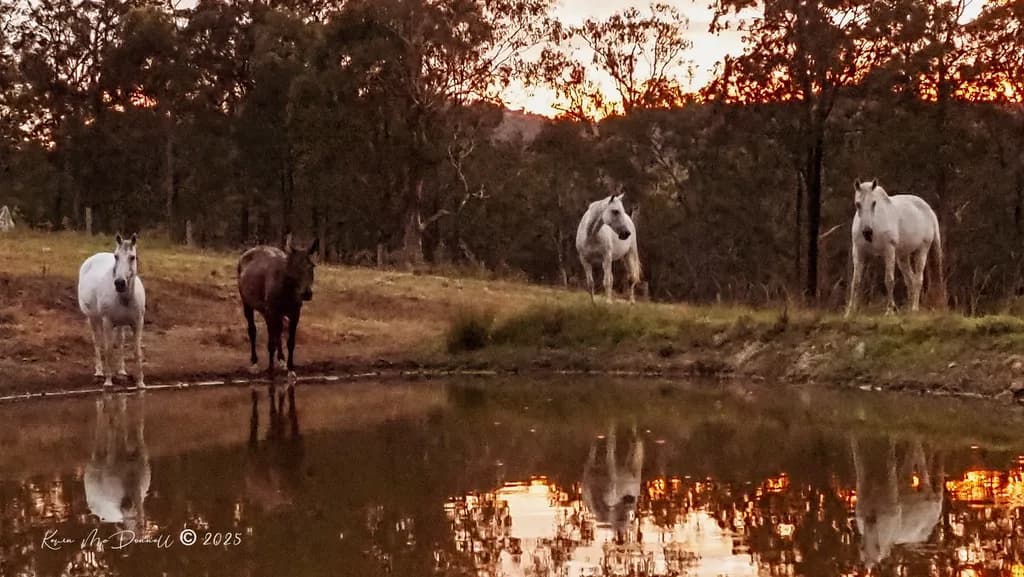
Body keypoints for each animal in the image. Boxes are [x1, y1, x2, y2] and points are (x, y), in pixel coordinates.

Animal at [78, 233, 147, 387]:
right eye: (116, 256)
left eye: (132, 257)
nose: (120, 283)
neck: (124, 298)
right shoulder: (107, 322)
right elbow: (108, 349)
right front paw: (108, 382)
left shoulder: (138, 322)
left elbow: (137, 351)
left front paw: (140, 383)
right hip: (93, 319)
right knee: (97, 342)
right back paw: (99, 373)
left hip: (120, 324)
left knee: (120, 341)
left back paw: (121, 372)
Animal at [237, 237, 319, 379]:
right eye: (295, 267)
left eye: (312, 265)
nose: (306, 293)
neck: (286, 289)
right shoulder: (272, 311)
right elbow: (270, 343)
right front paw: (270, 370)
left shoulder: (294, 313)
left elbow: (290, 341)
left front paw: (290, 369)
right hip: (248, 304)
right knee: (253, 331)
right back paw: (254, 363)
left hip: (269, 312)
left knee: (278, 332)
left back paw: (281, 360)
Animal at [847, 179, 944, 316]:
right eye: (857, 204)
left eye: (874, 203)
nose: (867, 232)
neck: (875, 224)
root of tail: (929, 211)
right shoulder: (858, 252)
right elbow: (856, 282)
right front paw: (849, 312)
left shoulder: (889, 251)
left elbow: (889, 280)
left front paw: (889, 311)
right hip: (902, 257)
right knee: (910, 280)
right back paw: (908, 309)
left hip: (922, 251)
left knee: (918, 279)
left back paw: (914, 308)